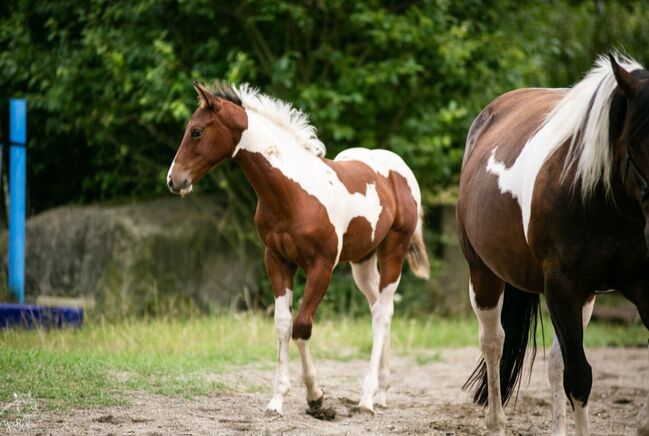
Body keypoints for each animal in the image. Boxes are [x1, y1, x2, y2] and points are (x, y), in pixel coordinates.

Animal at [168, 82, 430, 416]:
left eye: (197, 131)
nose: (174, 180)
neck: (293, 194)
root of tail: (400, 168)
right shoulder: (277, 261)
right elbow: (283, 325)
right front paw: (277, 400)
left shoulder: (322, 266)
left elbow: (302, 326)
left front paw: (316, 397)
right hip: (362, 261)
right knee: (379, 308)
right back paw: (382, 391)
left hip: (393, 251)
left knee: (382, 312)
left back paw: (367, 399)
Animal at [456, 54, 648, 436]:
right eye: (635, 143)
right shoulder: (563, 287)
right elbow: (580, 377)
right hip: (484, 276)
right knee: (494, 343)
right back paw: (496, 422)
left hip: (583, 297)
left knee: (555, 361)